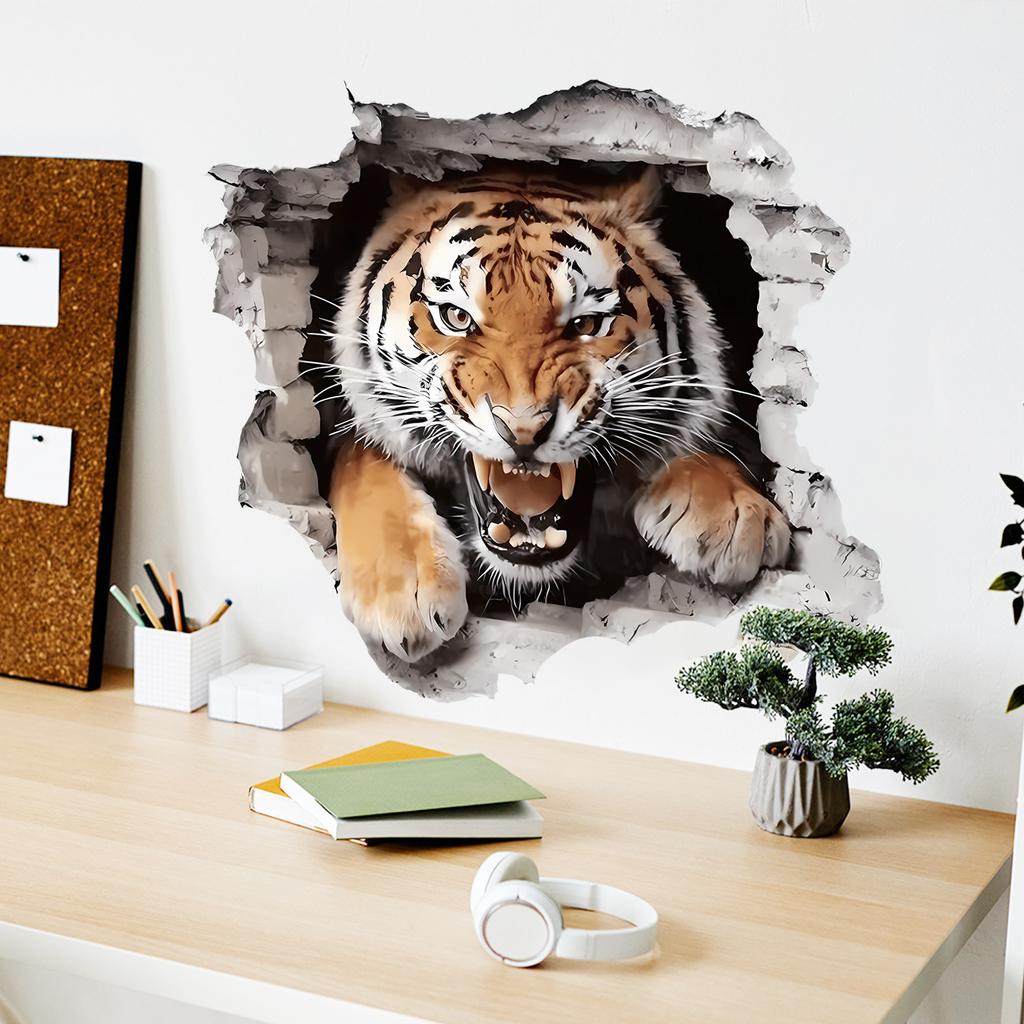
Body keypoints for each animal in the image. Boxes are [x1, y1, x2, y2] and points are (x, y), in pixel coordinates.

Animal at [328, 164, 791, 662]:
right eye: (456, 317)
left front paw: (733, 514)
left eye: (586, 324)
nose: (522, 429)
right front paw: (401, 591)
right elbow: (360, 459)